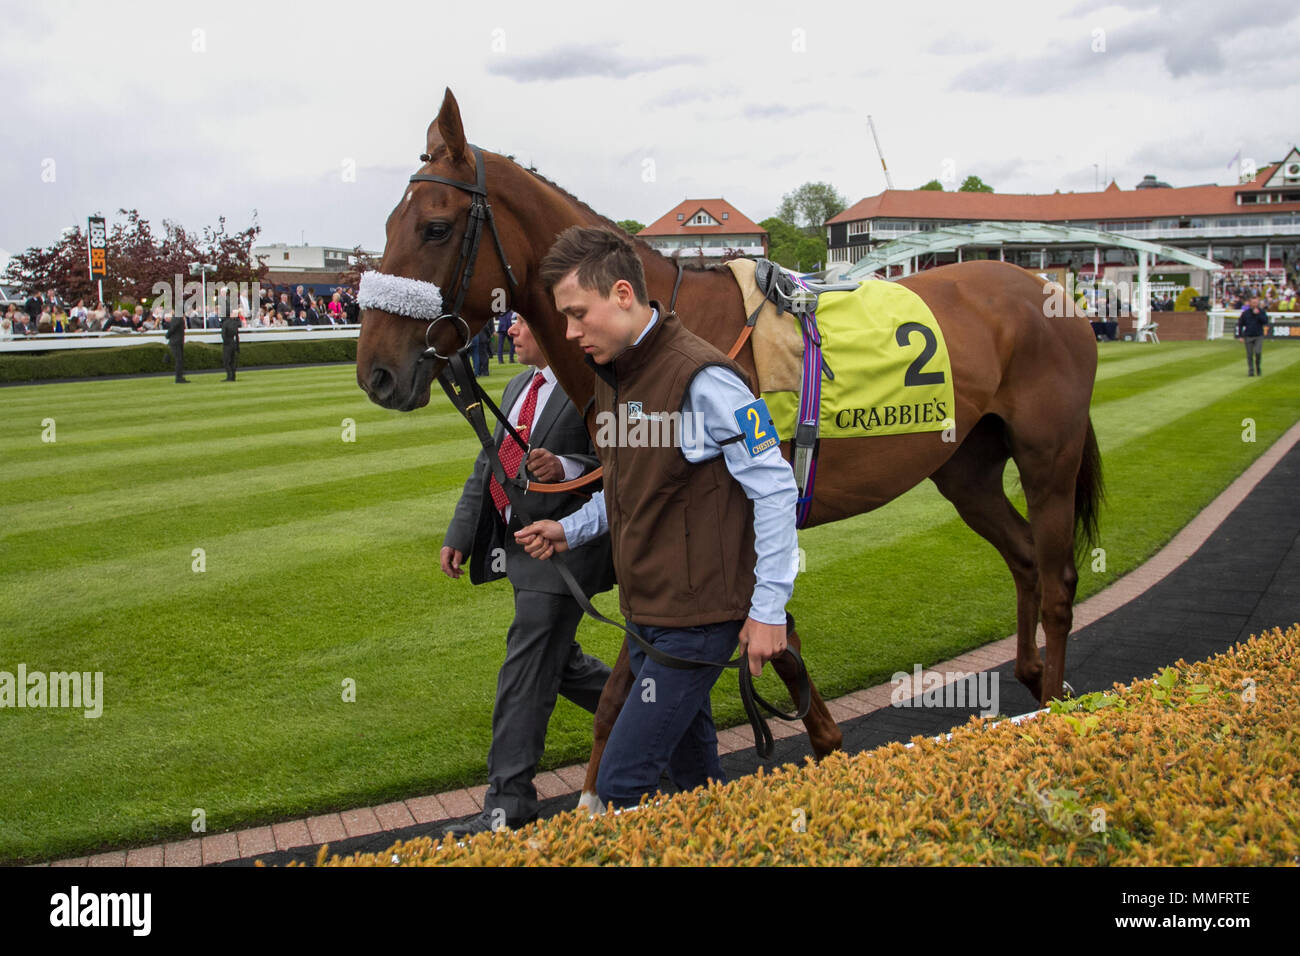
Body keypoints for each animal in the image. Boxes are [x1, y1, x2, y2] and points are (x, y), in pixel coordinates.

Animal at [358, 85, 1107, 811]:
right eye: (387, 226)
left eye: (435, 226)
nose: (377, 373)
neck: (658, 325)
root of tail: (1049, 288)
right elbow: (669, 674)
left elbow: (716, 654)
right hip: (965, 468)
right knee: (1023, 558)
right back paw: (1030, 674)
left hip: (1048, 455)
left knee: (1060, 578)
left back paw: (1057, 708)